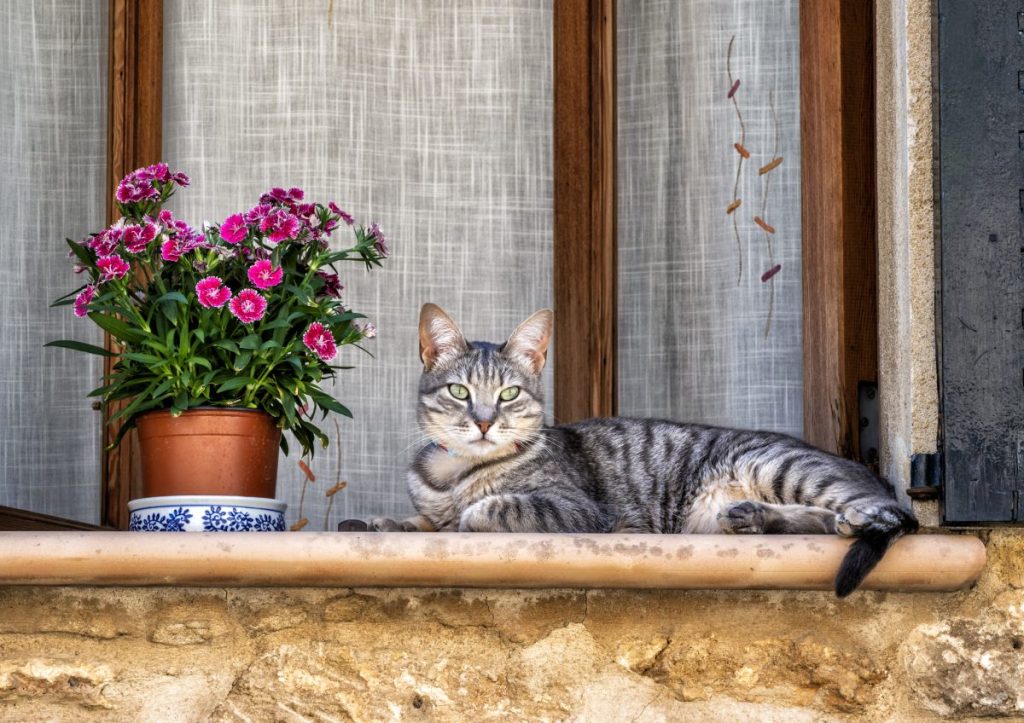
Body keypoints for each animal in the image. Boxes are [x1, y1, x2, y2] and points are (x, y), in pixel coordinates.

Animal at [346, 301, 921, 593]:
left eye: (508, 394)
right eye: (460, 392)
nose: (485, 422)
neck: (456, 474)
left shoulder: (581, 512)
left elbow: (488, 508)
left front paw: (471, 514)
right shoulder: (430, 507)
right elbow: (418, 521)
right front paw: (378, 522)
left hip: (778, 466)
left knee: (879, 514)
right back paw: (752, 516)